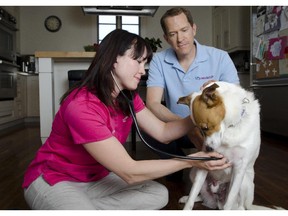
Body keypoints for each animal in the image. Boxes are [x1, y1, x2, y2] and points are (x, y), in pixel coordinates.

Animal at [177, 81, 272, 209]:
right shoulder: (204, 165)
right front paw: (187, 205)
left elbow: (229, 202)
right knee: (200, 195)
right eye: (199, 130)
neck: (229, 128)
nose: (208, 149)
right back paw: (187, 198)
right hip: (194, 171)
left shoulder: (239, 168)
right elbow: (192, 195)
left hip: (243, 183)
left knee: (238, 207)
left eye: (205, 127)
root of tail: (216, 199)